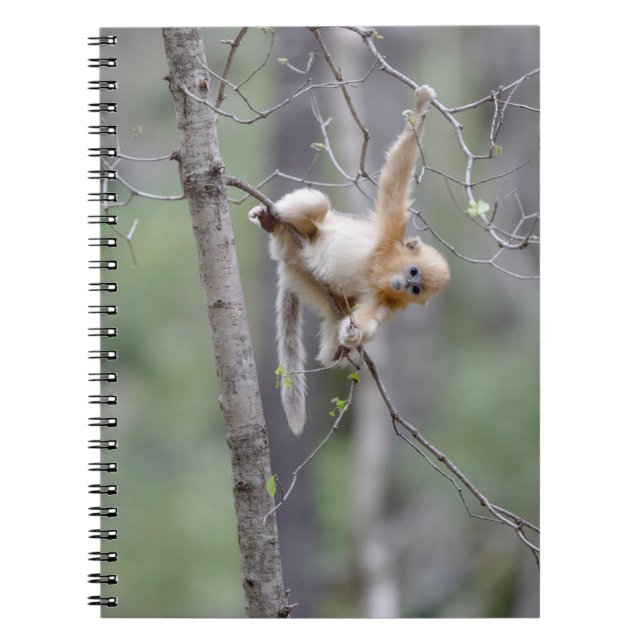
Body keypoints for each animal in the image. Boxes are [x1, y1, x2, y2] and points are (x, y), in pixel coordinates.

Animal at [249, 85, 451, 435]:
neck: (380, 269)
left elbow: (367, 318)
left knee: (335, 312)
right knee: (318, 203)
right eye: (412, 271)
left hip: (306, 279)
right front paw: (421, 107)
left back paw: (336, 350)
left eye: (416, 289)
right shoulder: (389, 233)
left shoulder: (386, 301)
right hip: (298, 237)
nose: (405, 283)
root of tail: (289, 258)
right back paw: (272, 221)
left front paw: (354, 336)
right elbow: (395, 179)